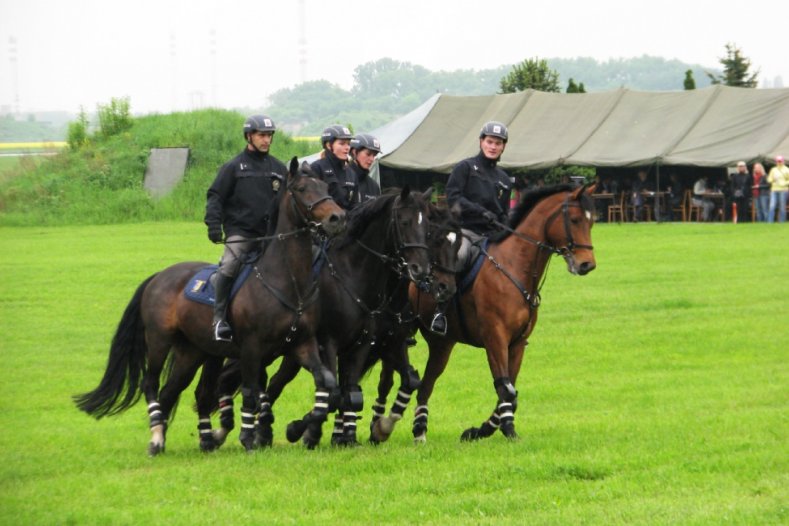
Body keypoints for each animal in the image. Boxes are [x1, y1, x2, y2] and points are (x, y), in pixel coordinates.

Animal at [74, 159, 344, 456]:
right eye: (302, 188)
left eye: (325, 187)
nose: (337, 218)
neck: (288, 280)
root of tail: (159, 276)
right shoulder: (252, 349)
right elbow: (251, 393)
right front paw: (250, 438)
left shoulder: (302, 344)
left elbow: (327, 383)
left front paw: (301, 428)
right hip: (159, 341)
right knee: (152, 384)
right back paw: (157, 439)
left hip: (192, 352)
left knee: (172, 391)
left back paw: (180, 438)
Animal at [410, 184, 596, 444]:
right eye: (575, 219)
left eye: (592, 222)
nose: (587, 264)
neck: (514, 266)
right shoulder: (495, 338)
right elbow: (505, 387)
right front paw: (508, 430)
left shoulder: (517, 343)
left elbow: (510, 389)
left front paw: (480, 430)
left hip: (443, 345)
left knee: (426, 383)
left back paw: (419, 429)